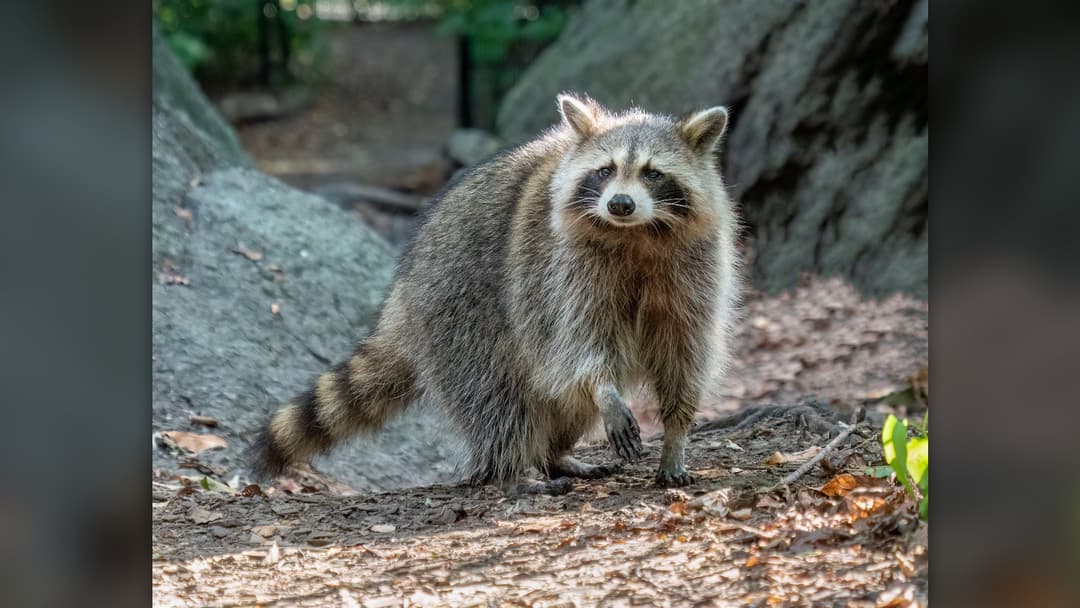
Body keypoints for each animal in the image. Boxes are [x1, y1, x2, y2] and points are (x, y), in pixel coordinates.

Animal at [252, 93, 740, 492]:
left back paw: (556, 455)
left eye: (653, 174)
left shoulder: (695, 269)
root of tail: (403, 293)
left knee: (562, 401)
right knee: (498, 394)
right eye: (605, 171)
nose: (620, 204)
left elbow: (685, 350)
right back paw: (511, 469)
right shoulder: (560, 269)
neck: (636, 233)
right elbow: (579, 341)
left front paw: (676, 433)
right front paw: (605, 390)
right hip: (459, 307)